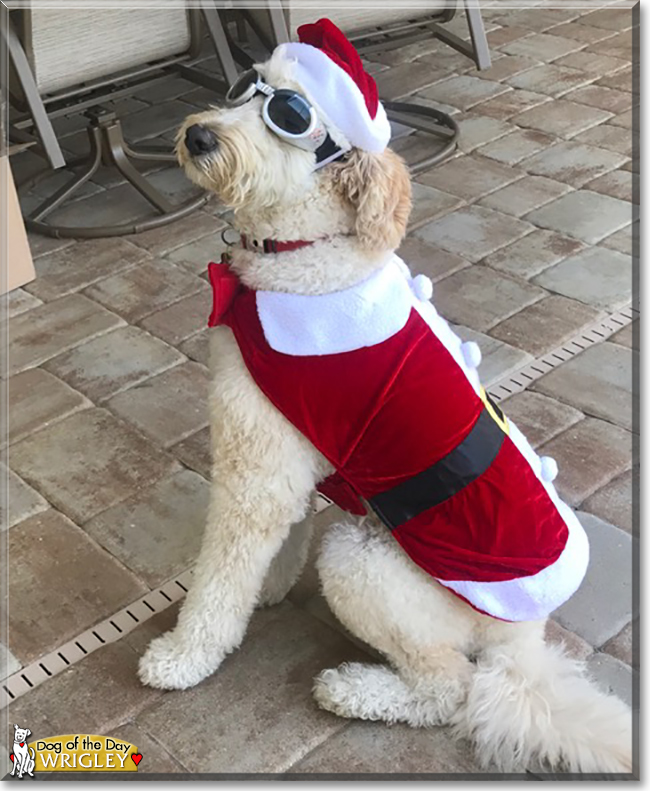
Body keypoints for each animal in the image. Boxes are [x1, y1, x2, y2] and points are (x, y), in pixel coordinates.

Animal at [138, 21, 632, 776]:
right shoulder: (291, 450)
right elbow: (277, 537)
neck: (304, 250)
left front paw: (184, 656)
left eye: (291, 115)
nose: (198, 135)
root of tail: (523, 642)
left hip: (364, 563)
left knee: (449, 688)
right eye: (246, 86)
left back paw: (356, 690)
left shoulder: (258, 469)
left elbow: (221, 576)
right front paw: (270, 585)